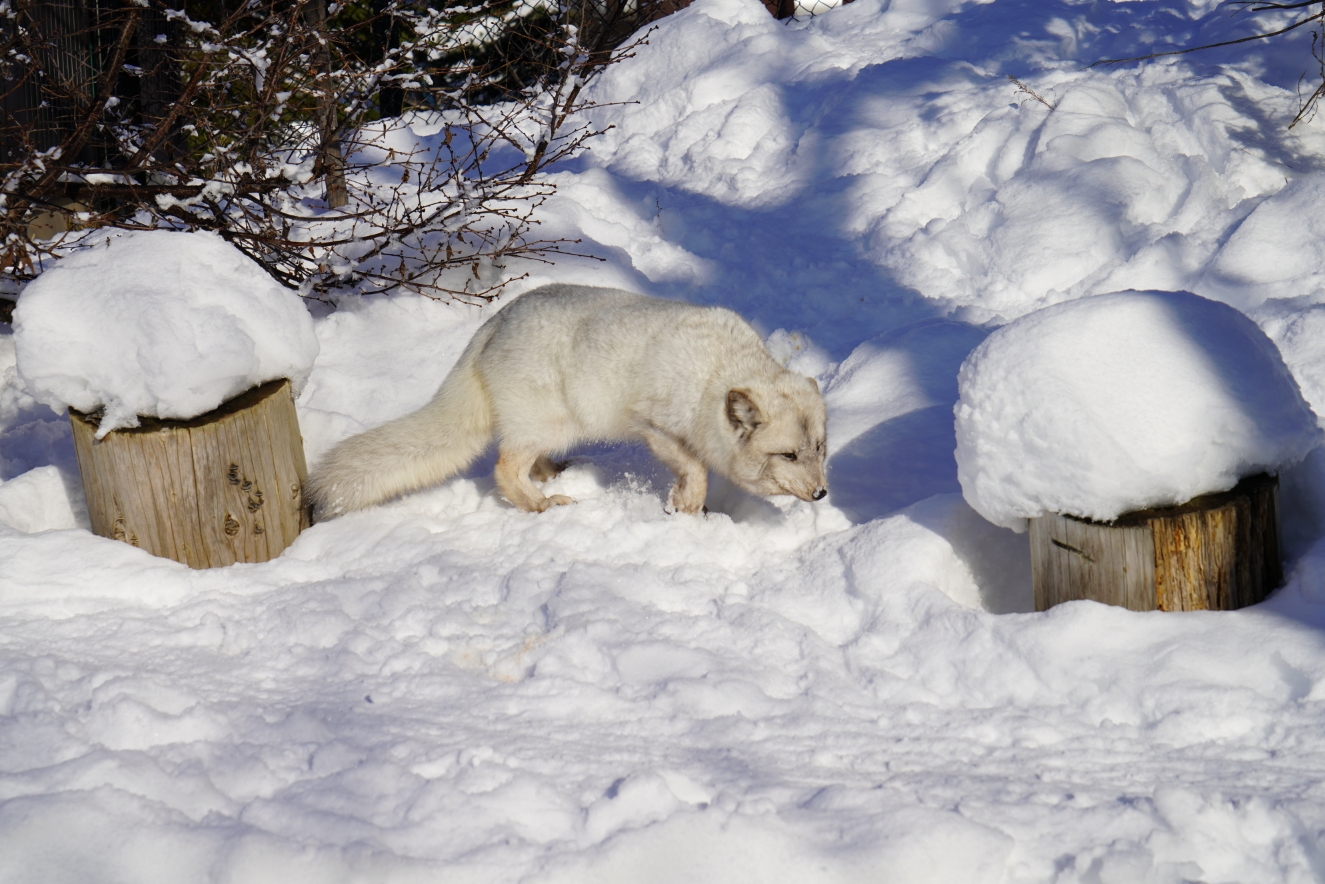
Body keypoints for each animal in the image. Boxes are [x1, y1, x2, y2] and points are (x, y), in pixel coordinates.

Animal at [310, 283, 826, 519]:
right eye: (787, 455)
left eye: (819, 449)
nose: (822, 493)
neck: (714, 374)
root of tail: (493, 324)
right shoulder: (653, 427)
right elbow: (696, 469)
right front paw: (686, 507)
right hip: (553, 422)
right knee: (504, 466)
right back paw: (542, 505)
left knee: (528, 461)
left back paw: (554, 475)